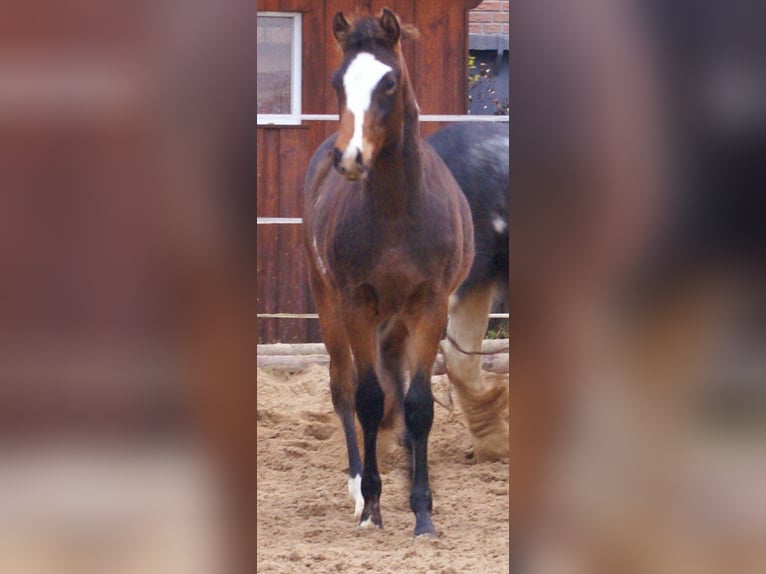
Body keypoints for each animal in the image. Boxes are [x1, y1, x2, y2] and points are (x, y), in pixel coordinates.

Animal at [302, 9, 473, 537]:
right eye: (337, 82)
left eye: (389, 81)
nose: (349, 157)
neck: (399, 212)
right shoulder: (356, 303)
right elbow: (368, 399)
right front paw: (373, 507)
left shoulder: (430, 305)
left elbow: (416, 404)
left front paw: (422, 511)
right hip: (329, 304)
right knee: (343, 389)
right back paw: (360, 487)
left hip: (396, 320)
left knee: (396, 386)